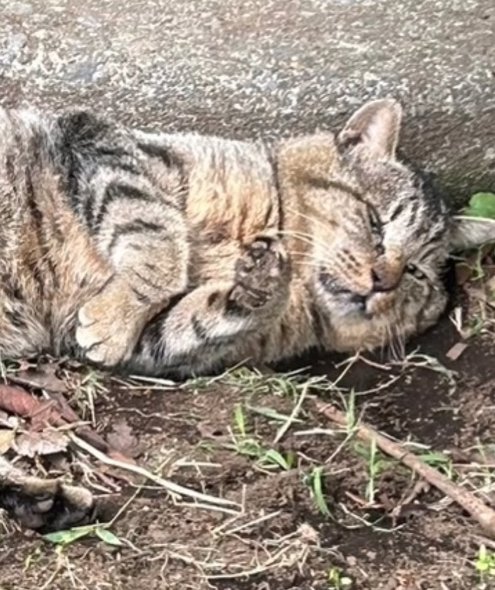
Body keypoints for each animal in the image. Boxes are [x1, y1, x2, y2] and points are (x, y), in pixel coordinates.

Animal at [0, 98, 495, 380]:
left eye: (415, 273)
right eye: (376, 223)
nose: (383, 281)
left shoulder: (158, 352)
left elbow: (196, 321)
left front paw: (259, 286)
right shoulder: (97, 138)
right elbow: (158, 237)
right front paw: (113, 319)